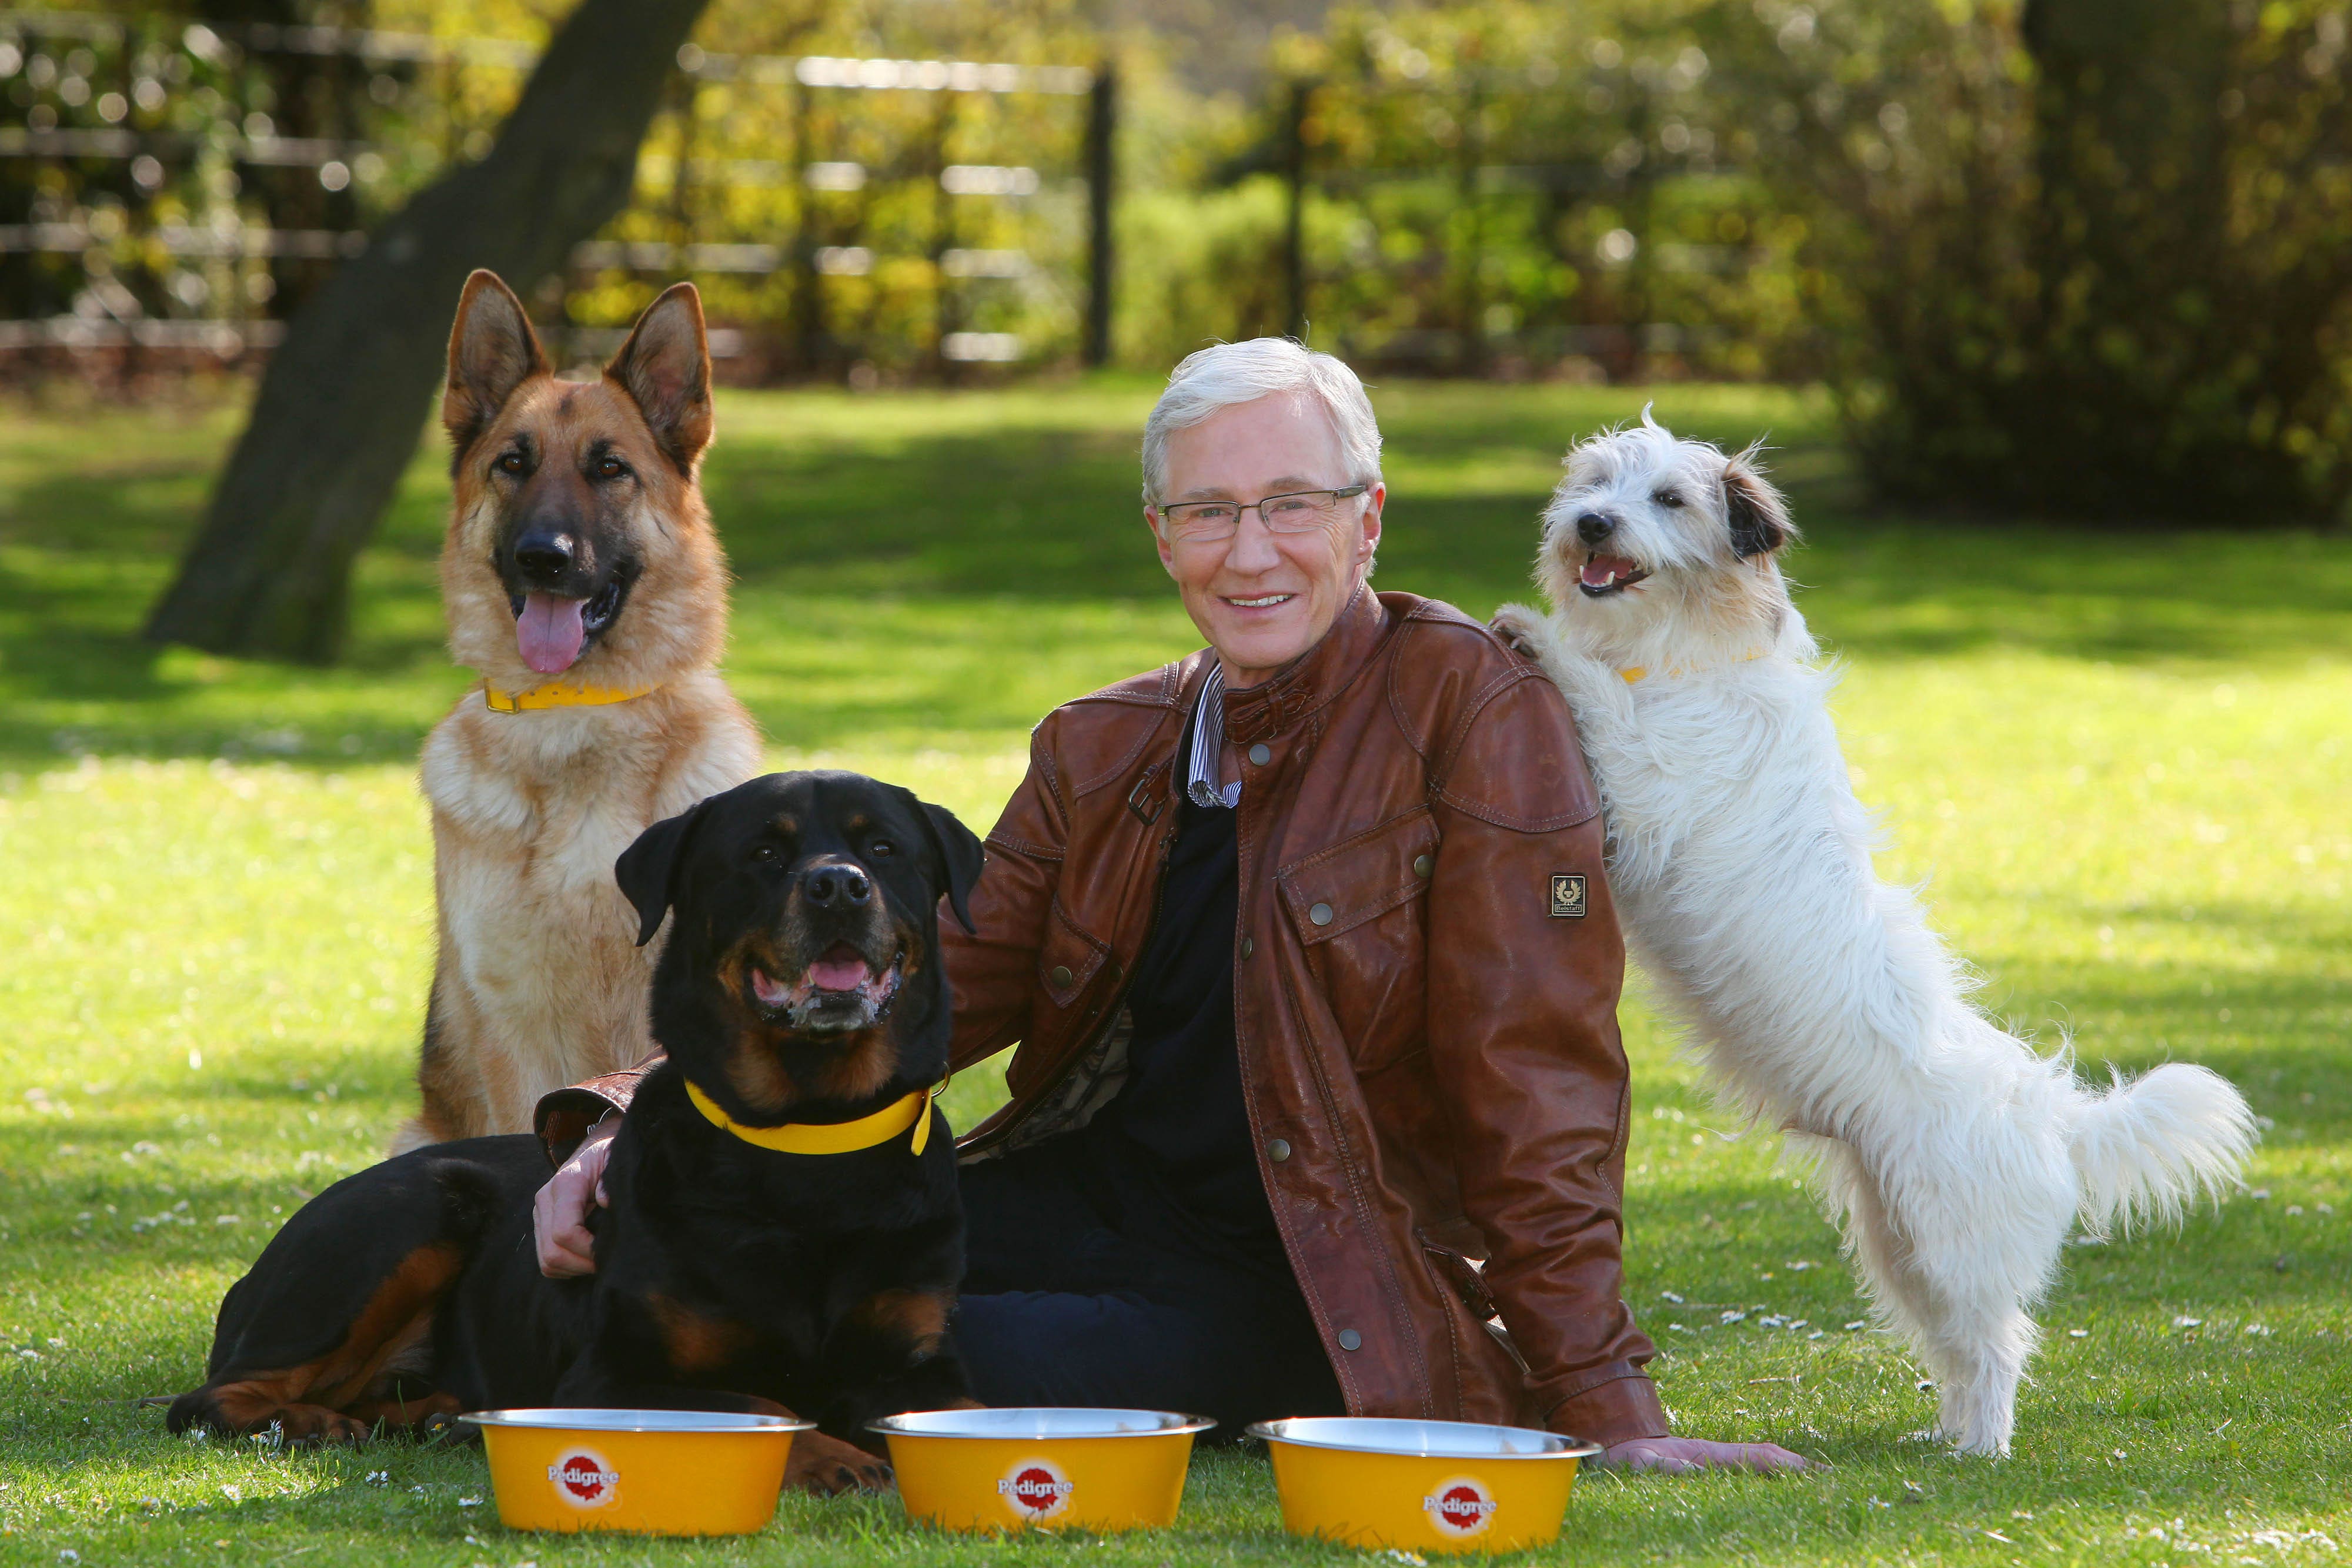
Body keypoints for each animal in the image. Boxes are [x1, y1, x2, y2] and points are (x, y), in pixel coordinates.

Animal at [168, 771, 983, 1495]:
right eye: (762, 853)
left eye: (883, 848)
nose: (839, 885)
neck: (809, 1137)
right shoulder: (608, 1376)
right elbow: (757, 1402)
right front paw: (832, 1457)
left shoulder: (917, 1362)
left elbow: (967, 1411)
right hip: (398, 1222)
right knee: (209, 1400)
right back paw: (313, 1422)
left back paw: (436, 1417)